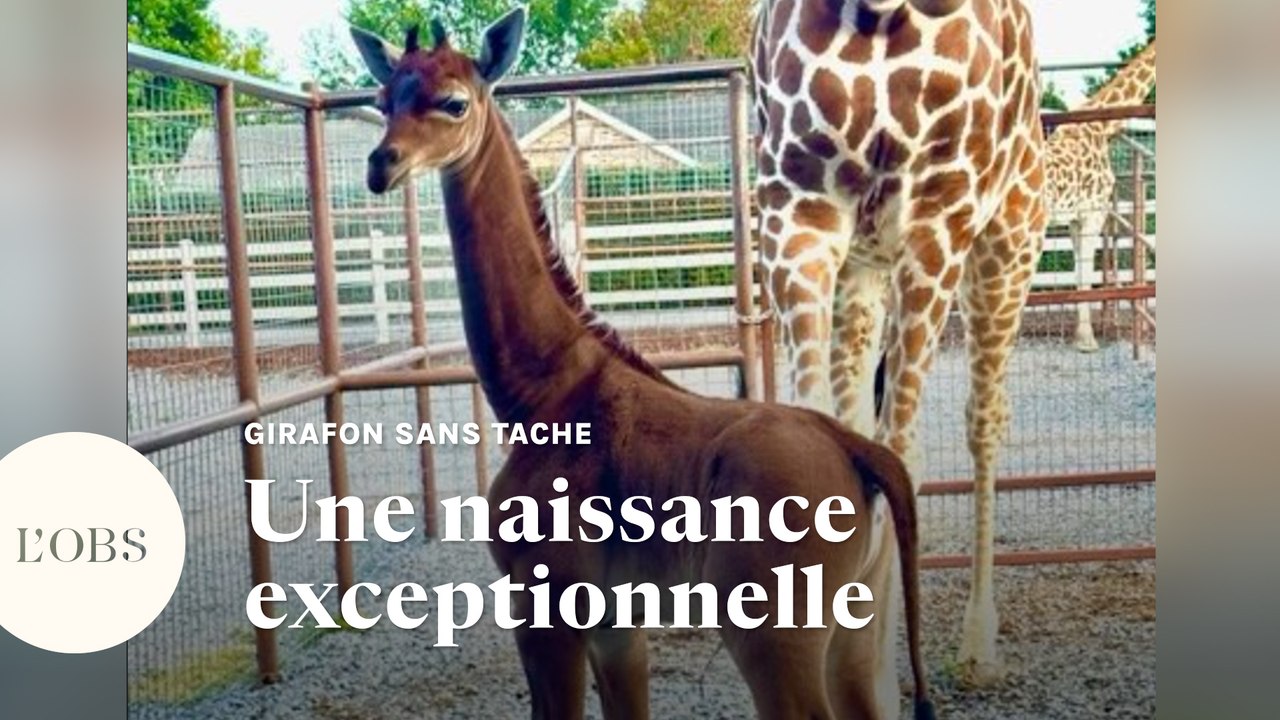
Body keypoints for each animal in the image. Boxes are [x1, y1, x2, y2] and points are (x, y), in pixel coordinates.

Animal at [353, 9, 935, 719]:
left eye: (454, 102)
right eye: (383, 98)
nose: (382, 164)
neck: (542, 394)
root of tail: (861, 452)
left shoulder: (547, 605)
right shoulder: (614, 624)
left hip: (773, 636)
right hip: (860, 633)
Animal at [751, 0, 1047, 684]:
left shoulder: (938, 217)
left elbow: (901, 457)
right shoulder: (797, 207)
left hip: (1009, 242)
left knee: (985, 418)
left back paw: (978, 642)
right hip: (863, 271)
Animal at [1047, 40, 1156, 352]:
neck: (1100, 126)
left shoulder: (1076, 219)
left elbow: (1078, 270)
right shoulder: (1093, 213)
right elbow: (1085, 272)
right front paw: (1086, 340)